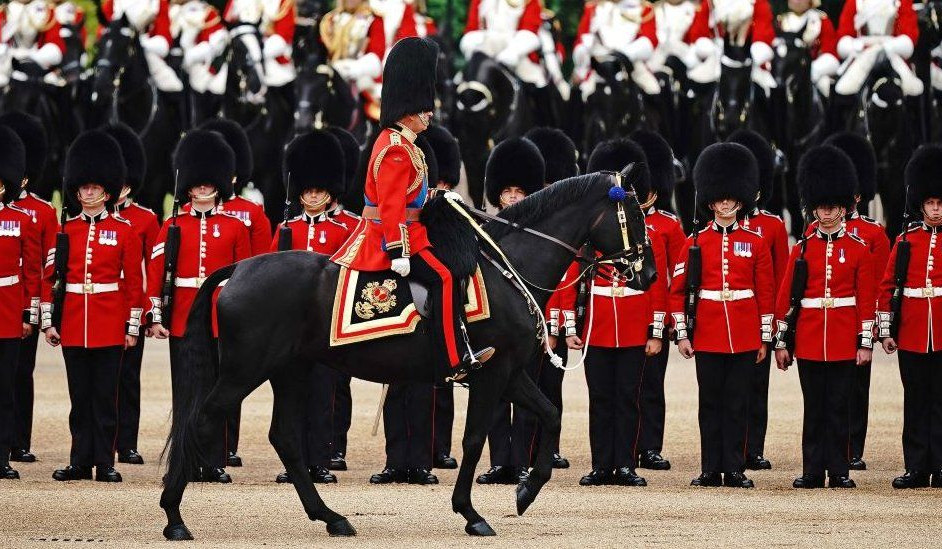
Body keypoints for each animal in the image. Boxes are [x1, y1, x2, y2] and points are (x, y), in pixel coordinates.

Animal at [160, 167, 656, 540]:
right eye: (633, 211)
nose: (649, 273)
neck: (509, 267)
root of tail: (238, 268)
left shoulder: (509, 371)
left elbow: (550, 414)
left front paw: (527, 490)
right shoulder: (491, 372)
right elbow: (474, 438)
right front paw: (471, 513)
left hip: (290, 370)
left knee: (283, 437)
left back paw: (331, 517)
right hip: (244, 371)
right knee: (201, 420)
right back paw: (174, 518)